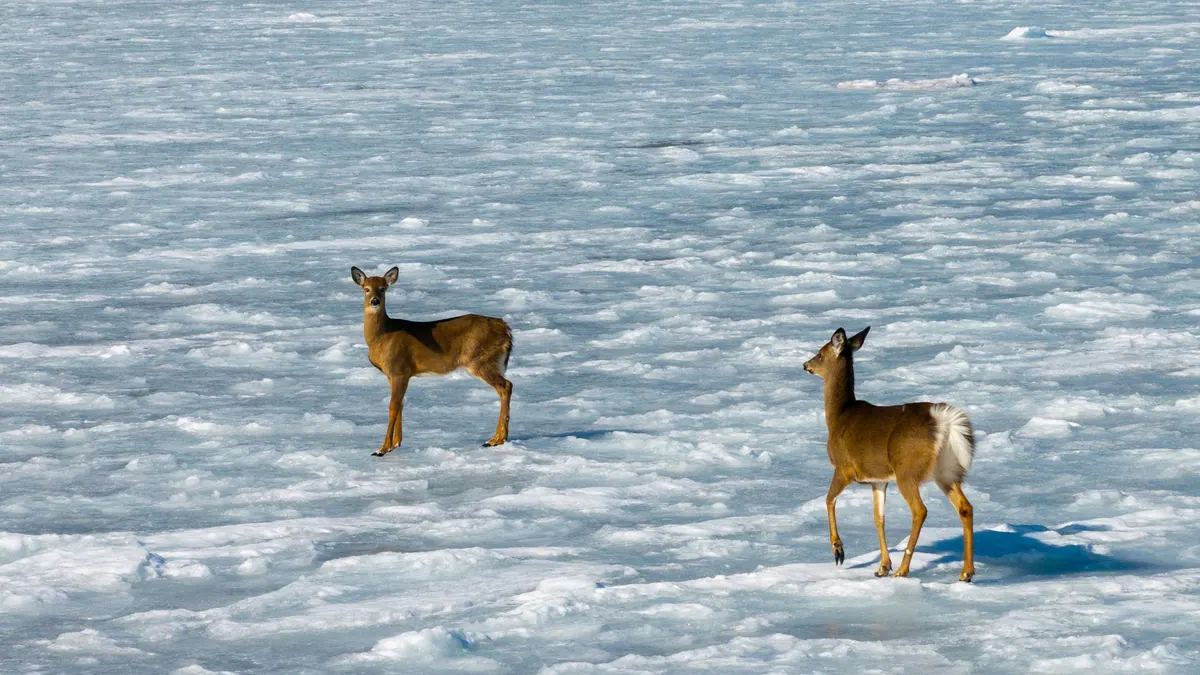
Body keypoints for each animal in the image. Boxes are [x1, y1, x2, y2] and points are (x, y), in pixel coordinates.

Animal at [351, 266, 513, 456]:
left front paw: (382, 449)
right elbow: (400, 405)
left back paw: (496, 439)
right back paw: (498, 438)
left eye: (383, 289)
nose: (375, 301)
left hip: (481, 360)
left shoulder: (399, 370)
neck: (382, 336)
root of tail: (505, 329)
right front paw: (396, 444)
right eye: (366, 288)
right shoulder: (394, 375)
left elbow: (392, 407)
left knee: (506, 386)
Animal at [803, 327, 976, 582]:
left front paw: (838, 551)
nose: (805, 364)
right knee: (965, 507)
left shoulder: (844, 468)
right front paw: (882, 566)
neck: (839, 416)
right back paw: (966, 572)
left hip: (908, 471)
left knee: (920, 510)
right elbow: (878, 518)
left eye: (821, 353)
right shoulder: (878, 479)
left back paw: (903, 570)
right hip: (947, 470)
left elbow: (829, 499)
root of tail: (944, 421)